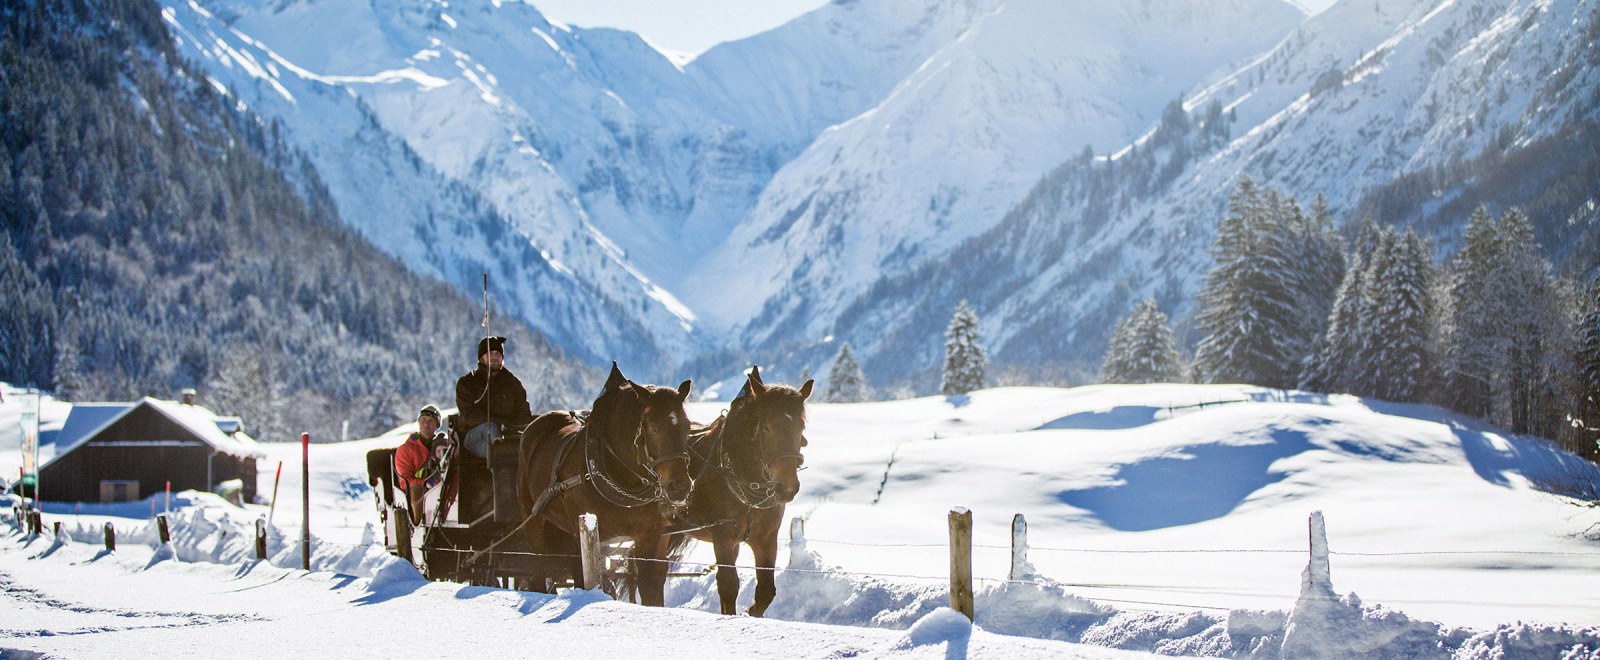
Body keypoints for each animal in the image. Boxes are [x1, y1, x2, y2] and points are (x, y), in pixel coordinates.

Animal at [512, 363, 688, 605]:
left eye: (687, 426)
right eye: (653, 427)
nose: (680, 486)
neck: (620, 475)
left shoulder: (649, 534)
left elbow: (649, 587)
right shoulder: (590, 536)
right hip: (535, 524)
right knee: (542, 569)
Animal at [652, 363, 806, 615]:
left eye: (800, 426)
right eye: (766, 427)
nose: (787, 488)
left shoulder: (766, 538)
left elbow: (765, 592)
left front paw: (751, 612)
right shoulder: (723, 535)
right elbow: (728, 585)